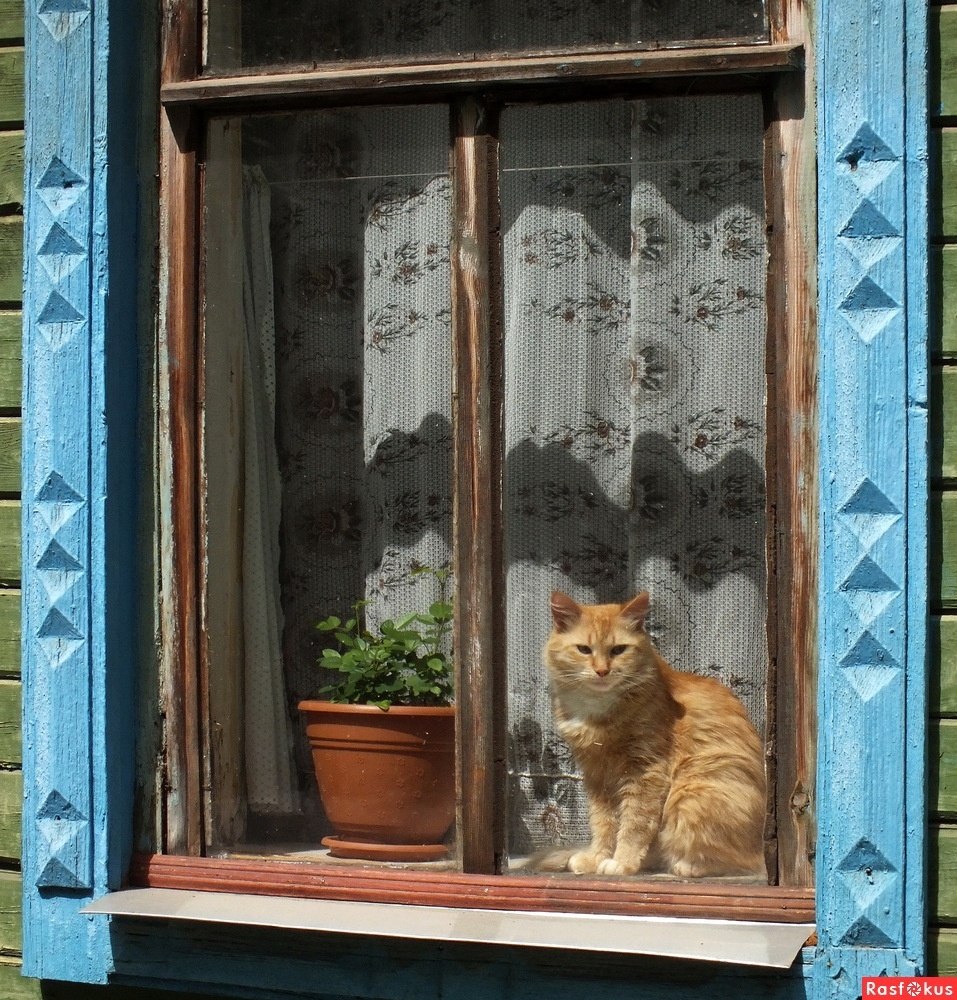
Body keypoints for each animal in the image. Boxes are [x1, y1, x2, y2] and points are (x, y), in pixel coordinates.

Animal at [540, 588, 764, 880]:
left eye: (618, 650)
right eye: (584, 650)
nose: (602, 671)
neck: (598, 710)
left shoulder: (645, 771)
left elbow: (634, 824)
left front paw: (622, 862)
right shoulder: (596, 776)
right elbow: (603, 824)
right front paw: (597, 857)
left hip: (691, 794)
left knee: (741, 862)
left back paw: (687, 866)